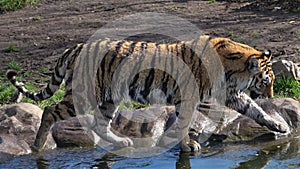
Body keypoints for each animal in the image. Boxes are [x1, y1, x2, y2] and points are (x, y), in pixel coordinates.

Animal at [5, 35, 288, 152]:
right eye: (265, 82)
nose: (271, 95)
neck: (231, 69)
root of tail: (74, 48)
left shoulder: (231, 95)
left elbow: (255, 110)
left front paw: (280, 126)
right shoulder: (191, 98)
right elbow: (184, 124)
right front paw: (188, 146)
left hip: (109, 98)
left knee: (98, 123)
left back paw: (121, 142)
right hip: (83, 94)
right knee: (50, 110)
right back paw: (38, 146)